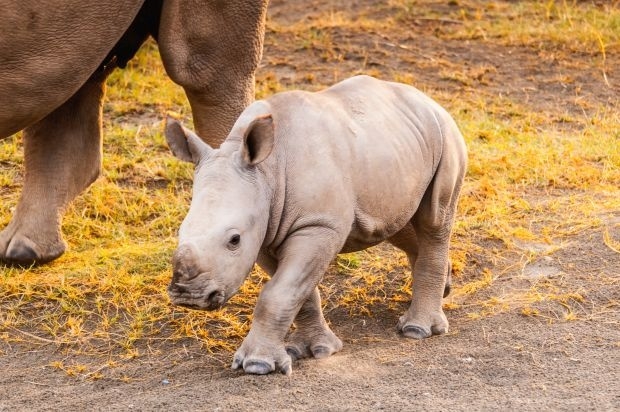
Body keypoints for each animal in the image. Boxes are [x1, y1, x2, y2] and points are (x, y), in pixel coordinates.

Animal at [165, 75, 464, 376]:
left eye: (234, 239)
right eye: (179, 232)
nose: (188, 296)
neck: (265, 173)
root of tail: (428, 100)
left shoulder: (318, 225)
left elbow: (279, 292)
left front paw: (257, 365)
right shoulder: (265, 230)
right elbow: (298, 292)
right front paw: (314, 351)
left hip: (445, 135)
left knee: (433, 221)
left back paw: (417, 330)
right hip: (395, 148)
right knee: (398, 224)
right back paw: (445, 289)